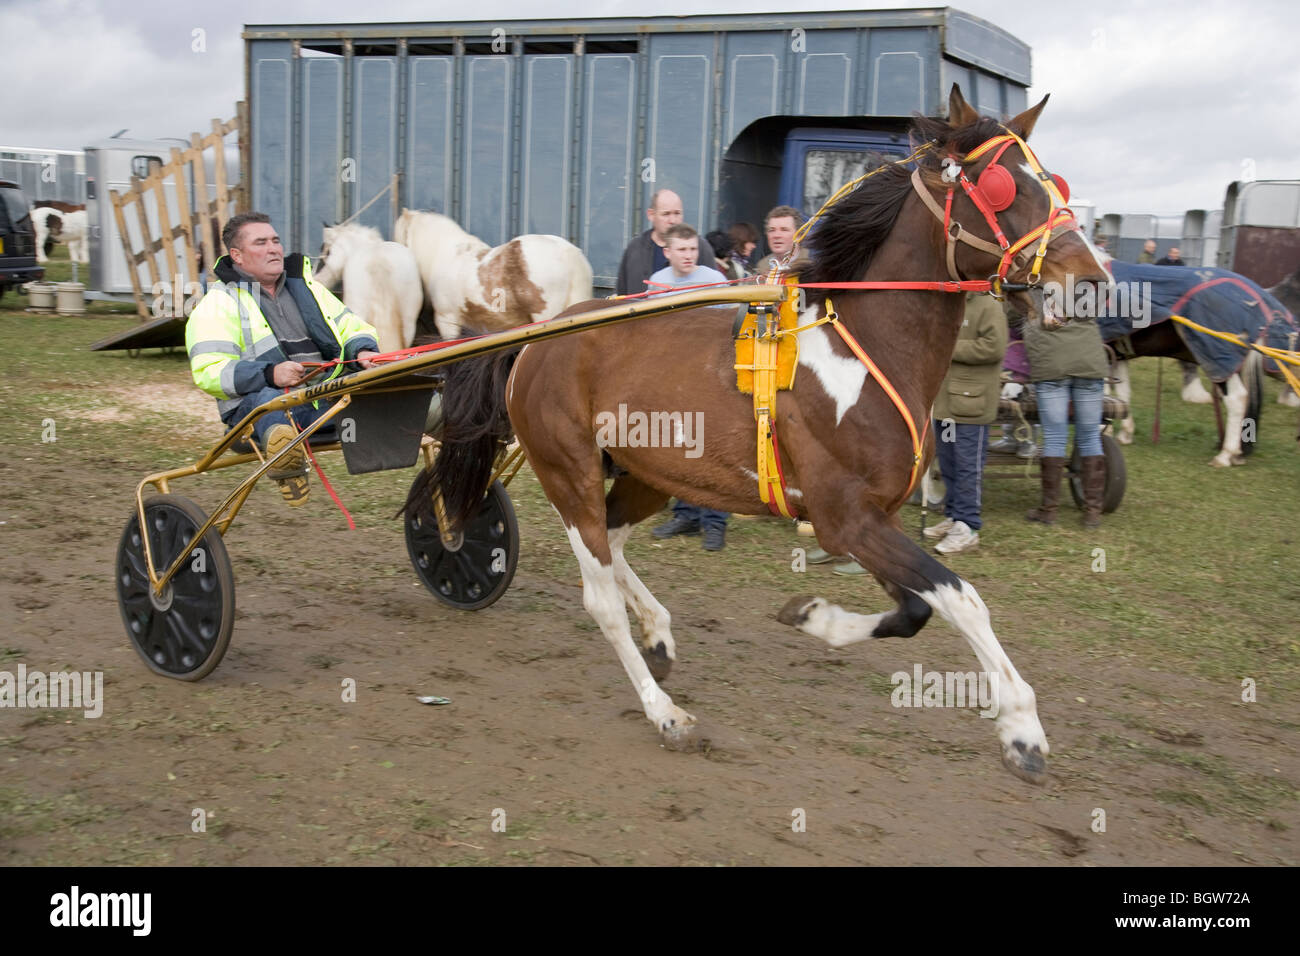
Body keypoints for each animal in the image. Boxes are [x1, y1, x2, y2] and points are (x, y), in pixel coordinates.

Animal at [416, 85, 1107, 780]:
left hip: (648, 472)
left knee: (611, 542)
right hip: (569, 470)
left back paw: (658, 631)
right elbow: (961, 599)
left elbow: (915, 610)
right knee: (599, 595)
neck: (862, 352)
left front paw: (812, 617)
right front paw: (1022, 728)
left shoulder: (873, 518)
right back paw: (663, 710)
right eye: (1001, 185)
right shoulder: (844, 517)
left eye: (1054, 181)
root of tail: (535, 340)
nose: (1091, 281)